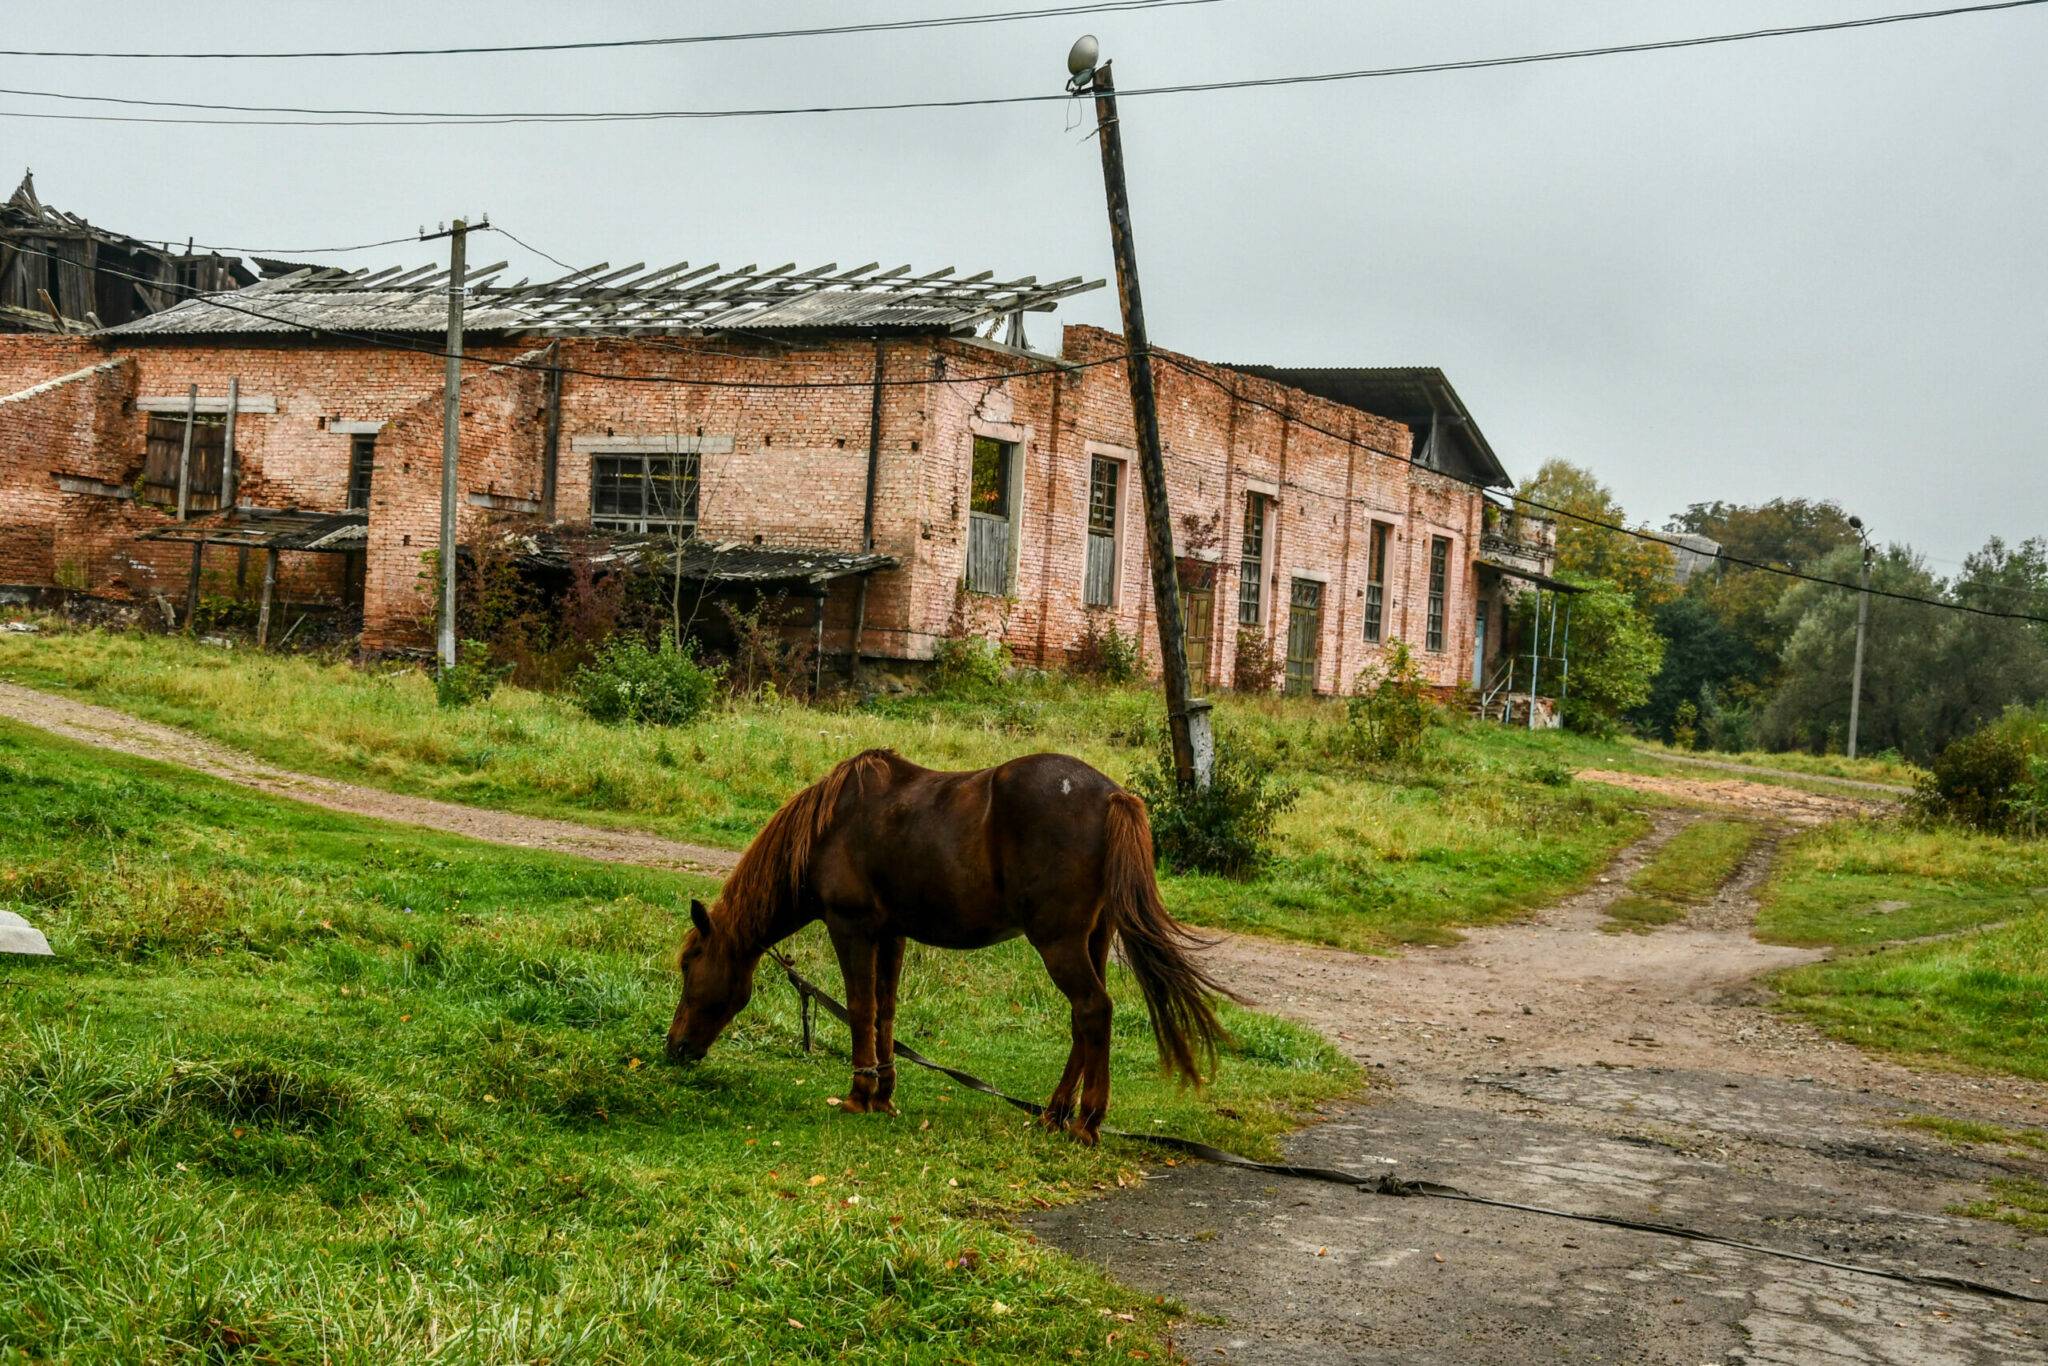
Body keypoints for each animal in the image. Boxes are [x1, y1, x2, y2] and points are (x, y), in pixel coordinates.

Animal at [671, 749, 1236, 1146]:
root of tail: (1114, 796)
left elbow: (860, 1008)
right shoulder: (891, 933)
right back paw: (1055, 1114)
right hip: (1094, 940)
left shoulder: (851, 928)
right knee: (1085, 1022)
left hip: (1058, 943)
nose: (673, 1048)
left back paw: (1086, 1122)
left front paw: (857, 1095)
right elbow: (886, 1012)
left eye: (690, 965)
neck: (834, 825)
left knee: (1094, 1011)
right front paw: (884, 1095)